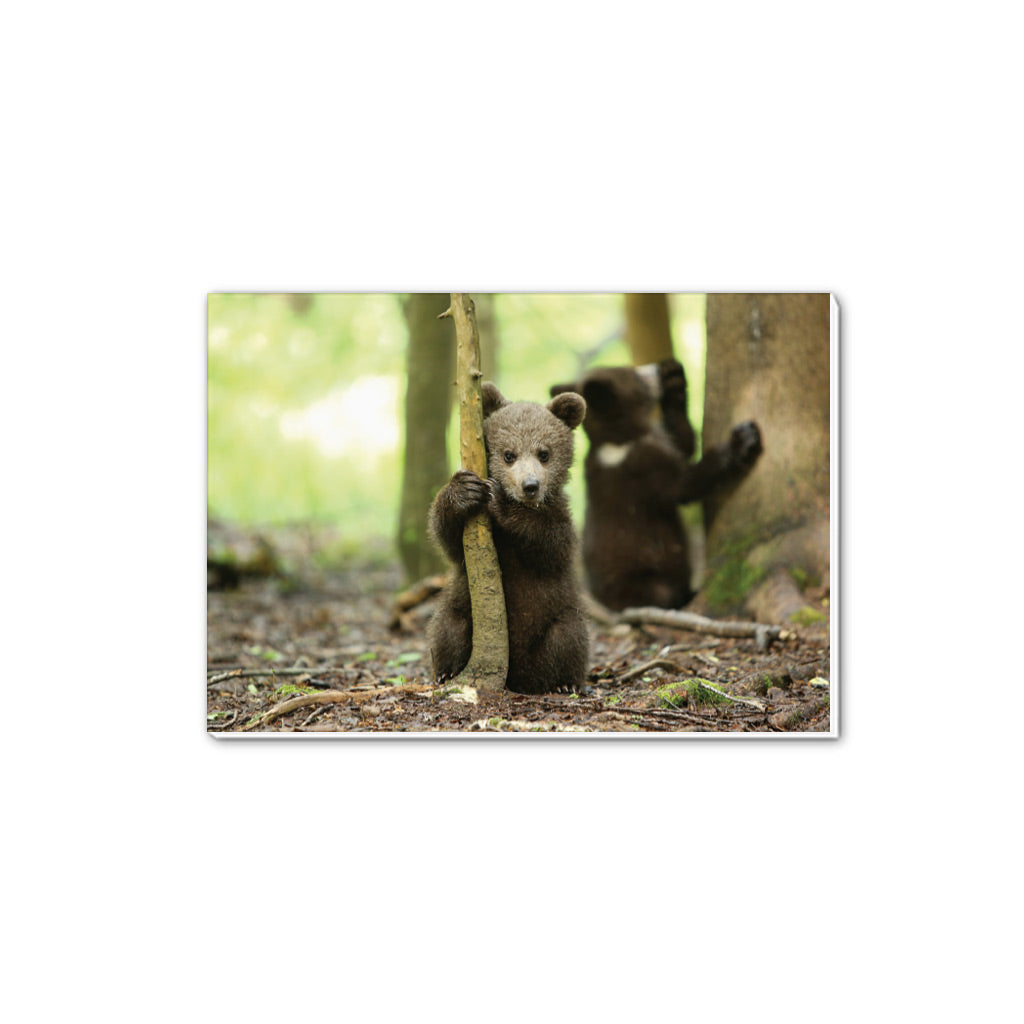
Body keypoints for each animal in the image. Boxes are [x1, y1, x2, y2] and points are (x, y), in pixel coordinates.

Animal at [427, 382, 589, 695]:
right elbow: (449, 540)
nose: (530, 485)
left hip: (558, 616)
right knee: (447, 627)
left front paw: (501, 501)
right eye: (509, 454)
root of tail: (517, 677)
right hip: (462, 608)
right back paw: (446, 672)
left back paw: (563, 683)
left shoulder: (561, 521)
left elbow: (550, 545)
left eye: (544, 453)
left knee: (568, 638)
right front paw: (463, 490)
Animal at [550, 358, 762, 611]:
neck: (620, 440)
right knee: (660, 594)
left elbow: (683, 442)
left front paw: (674, 377)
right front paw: (743, 439)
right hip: (640, 580)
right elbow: (684, 485)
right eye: (635, 375)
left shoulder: (658, 443)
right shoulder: (643, 468)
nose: (655, 368)